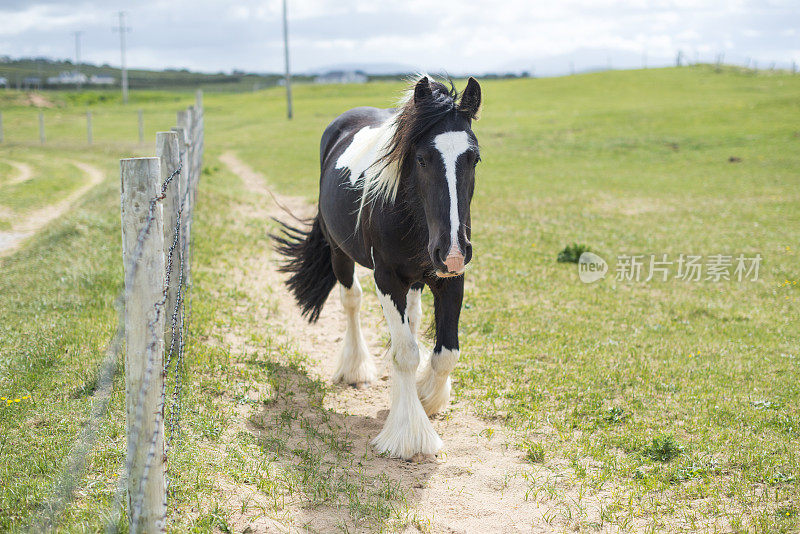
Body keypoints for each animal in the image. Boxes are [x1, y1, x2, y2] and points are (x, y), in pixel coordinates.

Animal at [274, 75, 482, 460]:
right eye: (421, 158)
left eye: (473, 158)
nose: (451, 251)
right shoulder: (387, 279)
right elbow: (406, 354)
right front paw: (409, 435)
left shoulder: (450, 279)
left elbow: (445, 353)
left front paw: (427, 399)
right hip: (340, 253)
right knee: (351, 302)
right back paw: (355, 369)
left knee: (412, 321)